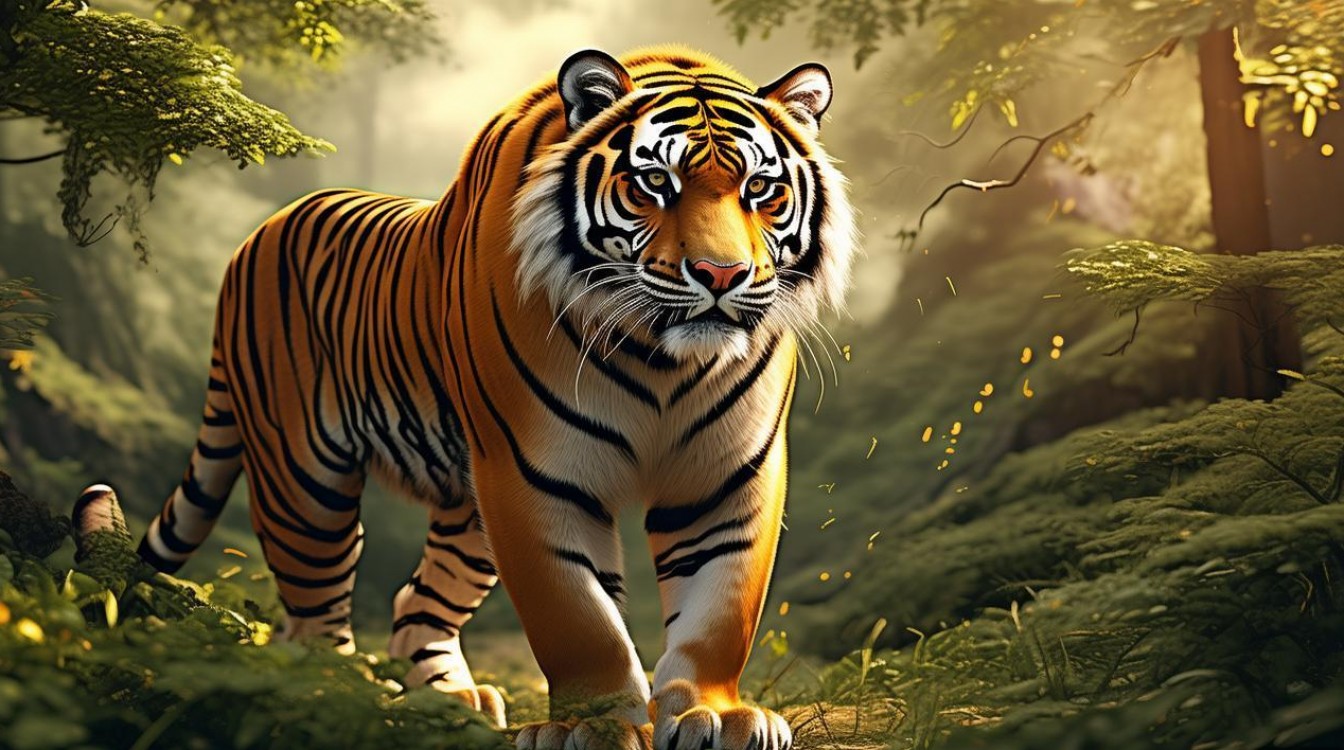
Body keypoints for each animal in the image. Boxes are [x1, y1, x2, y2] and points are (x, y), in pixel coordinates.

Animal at [80, 45, 856, 750]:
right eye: (653, 183)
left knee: (415, 600)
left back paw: (453, 699)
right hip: (304, 481)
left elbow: (719, 605)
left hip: (468, 513)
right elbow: (578, 616)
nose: (721, 275)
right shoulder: (534, 475)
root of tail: (258, 234)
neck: (662, 358)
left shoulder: (727, 475)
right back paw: (338, 695)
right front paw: (592, 727)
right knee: (314, 607)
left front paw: (714, 716)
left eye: (761, 190)